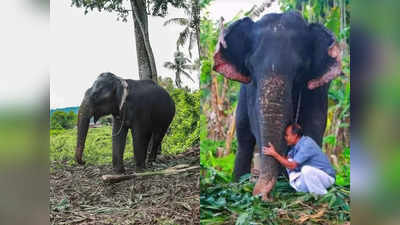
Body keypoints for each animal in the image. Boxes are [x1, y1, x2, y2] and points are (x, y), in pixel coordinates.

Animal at [214, 11, 342, 200]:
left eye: (301, 69)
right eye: (250, 67)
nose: (264, 197)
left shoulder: (318, 89)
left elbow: (314, 127)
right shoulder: (250, 90)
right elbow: (256, 125)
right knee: (244, 139)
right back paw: (237, 184)